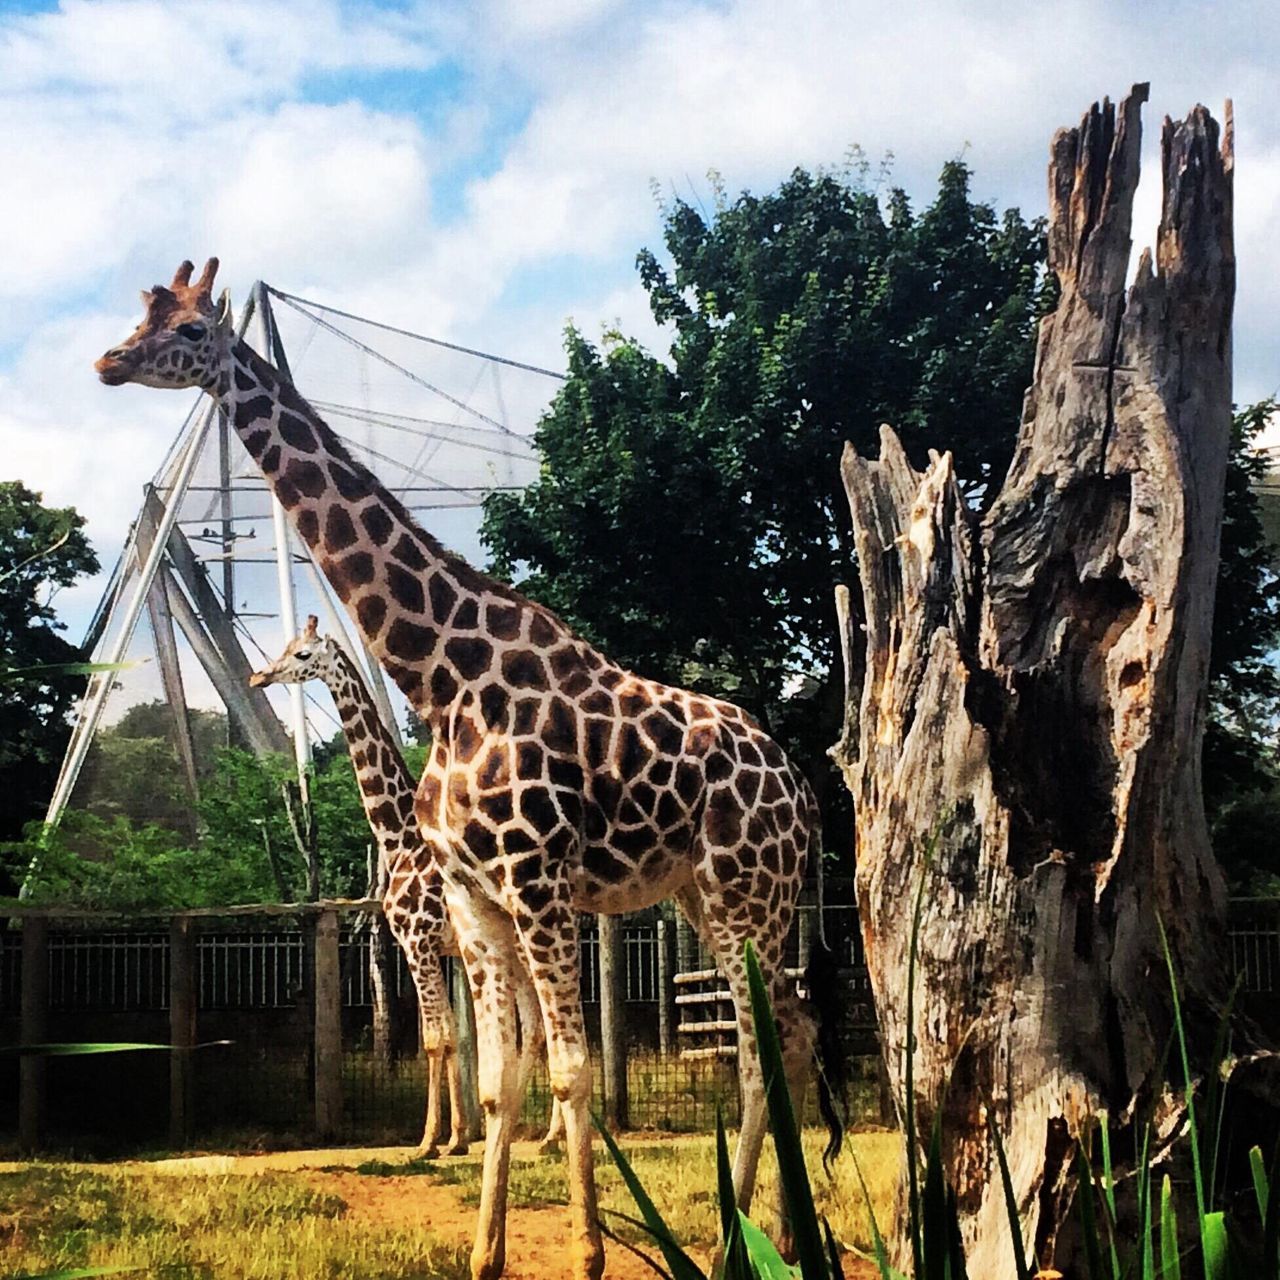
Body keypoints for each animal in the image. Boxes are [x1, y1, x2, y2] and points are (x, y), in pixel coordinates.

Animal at [247, 614, 563, 1157]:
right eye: (284, 646)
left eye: (303, 654)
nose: (258, 677)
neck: (397, 838)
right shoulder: (438, 950)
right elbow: (454, 1038)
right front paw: (459, 1137)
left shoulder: (416, 943)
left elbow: (439, 1040)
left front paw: (431, 1140)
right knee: (538, 1026)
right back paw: (542, 1135)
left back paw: (547, 1135)